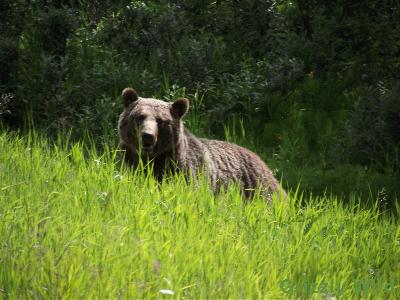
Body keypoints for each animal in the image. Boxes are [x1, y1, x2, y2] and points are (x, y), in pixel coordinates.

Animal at [117, 86, 286, 202]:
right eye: (140, 117)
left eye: (160, 120)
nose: (148, 136)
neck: (153, 159)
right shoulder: (131, 165)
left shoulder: (185, 171)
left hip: (259, 187)